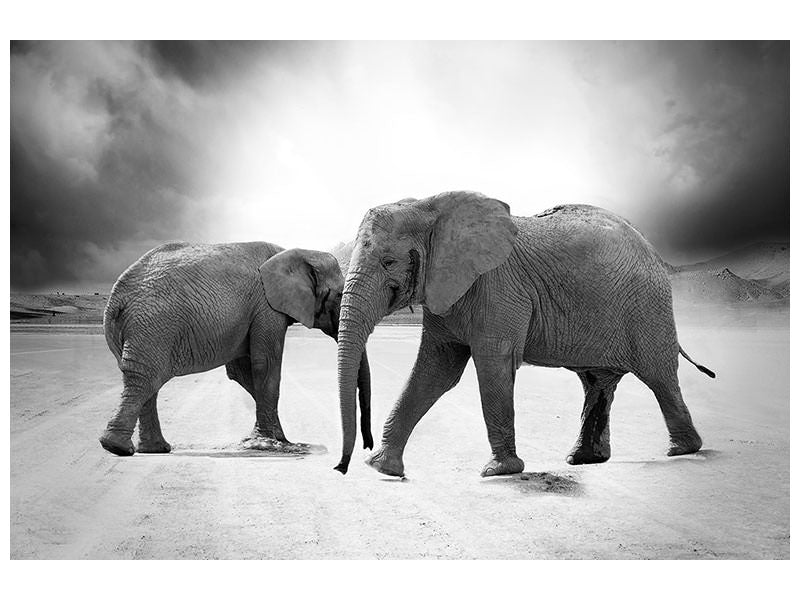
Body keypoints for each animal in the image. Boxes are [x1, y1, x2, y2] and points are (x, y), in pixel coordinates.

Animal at [99, 241, 372, 457]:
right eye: (340, 295)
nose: (367, 447)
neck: (295, 252)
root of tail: (116, 299)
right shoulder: (266, 307)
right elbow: (265, 366)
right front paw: (271, 443)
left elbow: (242, 372)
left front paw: (279, 439)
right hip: (153, 327)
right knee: (145, 379)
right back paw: (118, 448)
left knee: (146, 382)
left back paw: (152, 449)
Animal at [333, 191, 714, 476]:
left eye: (388, 262)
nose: (342, 467)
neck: (429, 207)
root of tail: (653, 250)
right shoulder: (447, 292)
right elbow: (435, 370)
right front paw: (382, 467)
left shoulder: (499, 287)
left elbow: (493, 363)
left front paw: (499, 471)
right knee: (597, 383)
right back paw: (584, 459)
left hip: (648, 307)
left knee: (659, 376)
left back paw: (682, 449)